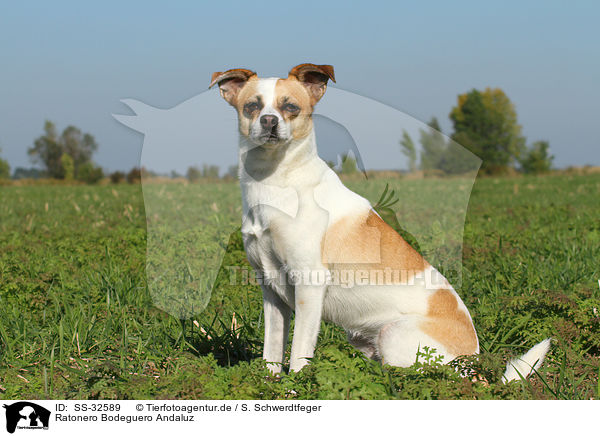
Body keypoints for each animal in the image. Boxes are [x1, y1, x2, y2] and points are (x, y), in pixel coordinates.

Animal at [209, 62, 552, 382]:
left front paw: (295, 389)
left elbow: (298, 354)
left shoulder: (309, 284)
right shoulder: (271, 291)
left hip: (393, 335)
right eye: (252, 106)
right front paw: (271, 387)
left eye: (290, 107)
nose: (269, 121)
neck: (275, 181)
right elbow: (272, 352)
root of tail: (474, 367)